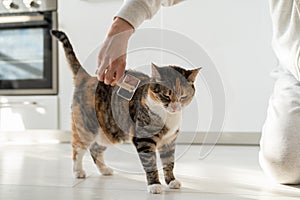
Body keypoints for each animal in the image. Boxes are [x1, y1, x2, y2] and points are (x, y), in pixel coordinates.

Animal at [51, 30, 200, 194]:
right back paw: (78, 171)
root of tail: (87, 77)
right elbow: (150, 163)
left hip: (110, 131)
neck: (167, 116)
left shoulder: (169, 141)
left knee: (95, 148)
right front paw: (154, 184)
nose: (175, 107)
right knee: (78, 147)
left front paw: (171, 181)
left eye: (183, 97)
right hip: (86, 126)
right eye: (166, 95)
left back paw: (105, 170)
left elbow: (169, 162)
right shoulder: (144, 139)